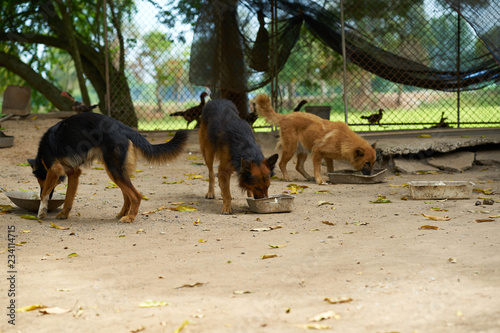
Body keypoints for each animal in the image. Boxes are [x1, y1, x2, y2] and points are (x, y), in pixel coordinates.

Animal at [27, 112, 188, 223]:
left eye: (39, 181)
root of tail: (123, 127)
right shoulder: (73, 172)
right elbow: (68, 198)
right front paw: (64, 214)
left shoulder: (54, 169)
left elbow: (45, 193)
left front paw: (41, 212)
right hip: (115, 171)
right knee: (127, 195)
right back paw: (123, 214)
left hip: (113, 170)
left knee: (136, 196)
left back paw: (130, 218)